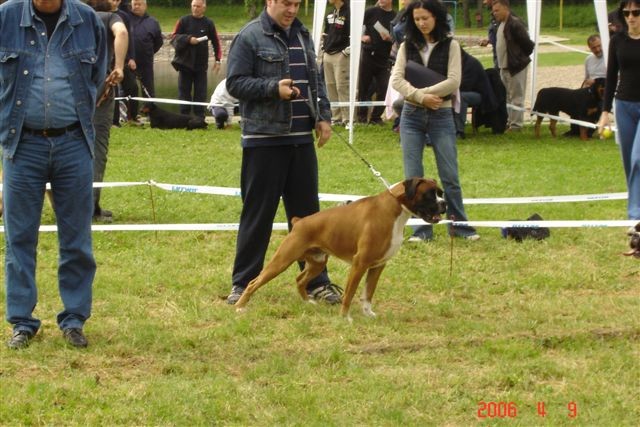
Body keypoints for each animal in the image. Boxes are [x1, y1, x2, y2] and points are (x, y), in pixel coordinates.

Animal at [232, 177, 448, 320]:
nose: (444, 203)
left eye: (440, 193)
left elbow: (368, 293)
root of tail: (299, 221)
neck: (396, 207)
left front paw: (368, 313)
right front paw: (345, 318)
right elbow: (350, 294)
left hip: (317, 263)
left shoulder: (378, 266)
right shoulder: (360, 264)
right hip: (282, 260)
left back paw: (307, 302)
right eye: (429, 195)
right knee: (254, 282)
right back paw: (240, 306)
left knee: (300, 280)